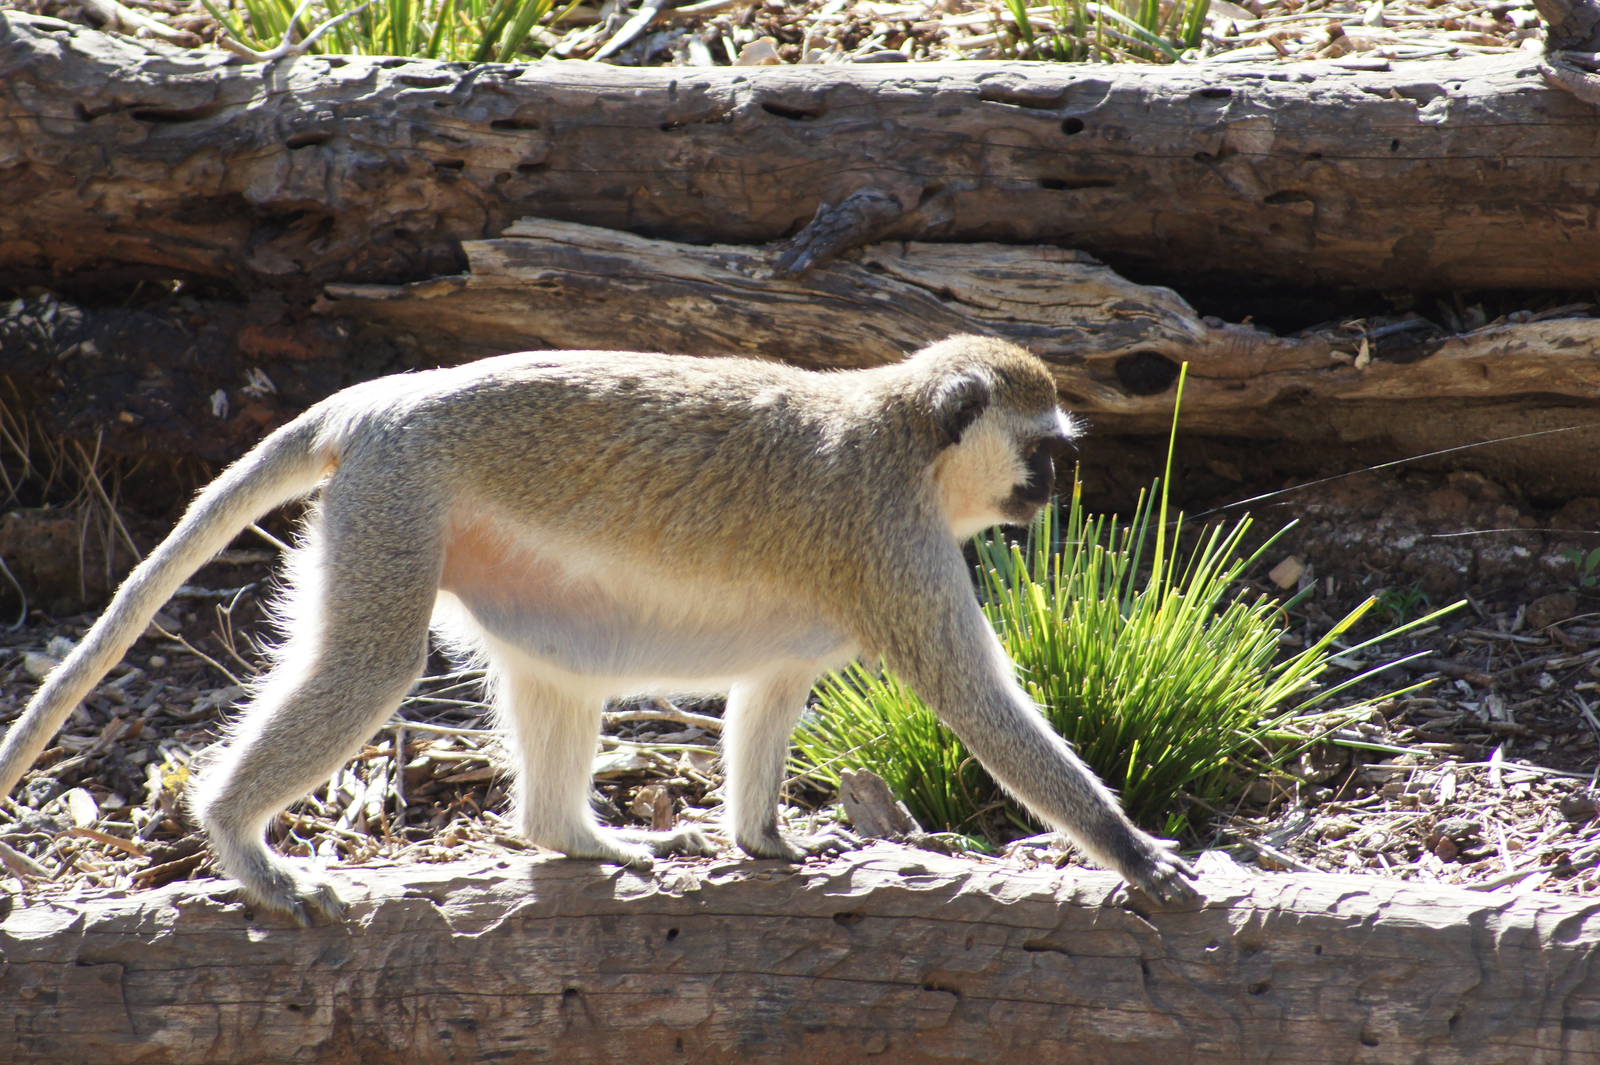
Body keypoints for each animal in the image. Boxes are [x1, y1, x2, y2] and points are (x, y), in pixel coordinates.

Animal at [0, 335, 1196, 924]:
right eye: (1045, 449)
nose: (1057, 492)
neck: (904, 433)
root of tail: (377, 402)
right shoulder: (891, 539)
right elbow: (970, 696)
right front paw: (1131, 849)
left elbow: (771, 693)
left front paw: (764, 840)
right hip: (395, 498)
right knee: (373, 660)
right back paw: (241, 843)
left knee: (557, 672)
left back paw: (569, 833)